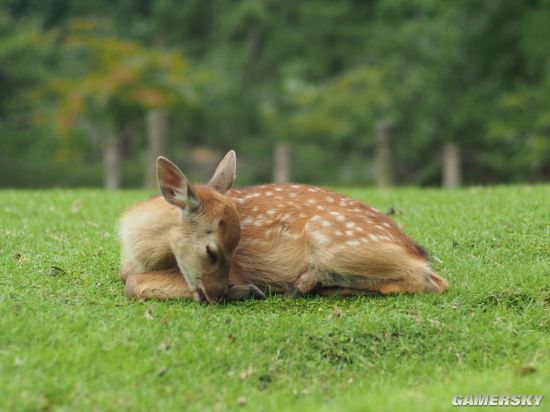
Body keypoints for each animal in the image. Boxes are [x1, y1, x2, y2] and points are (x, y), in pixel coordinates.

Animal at [119, 150, 448, 302]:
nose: (221, 292)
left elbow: (132, 284)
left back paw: (306, 284)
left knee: (433, 280)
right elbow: (129, 279)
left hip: (333, 239)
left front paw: (250, 290)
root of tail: (413, 247)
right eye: (212, 251)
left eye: (234, 249)